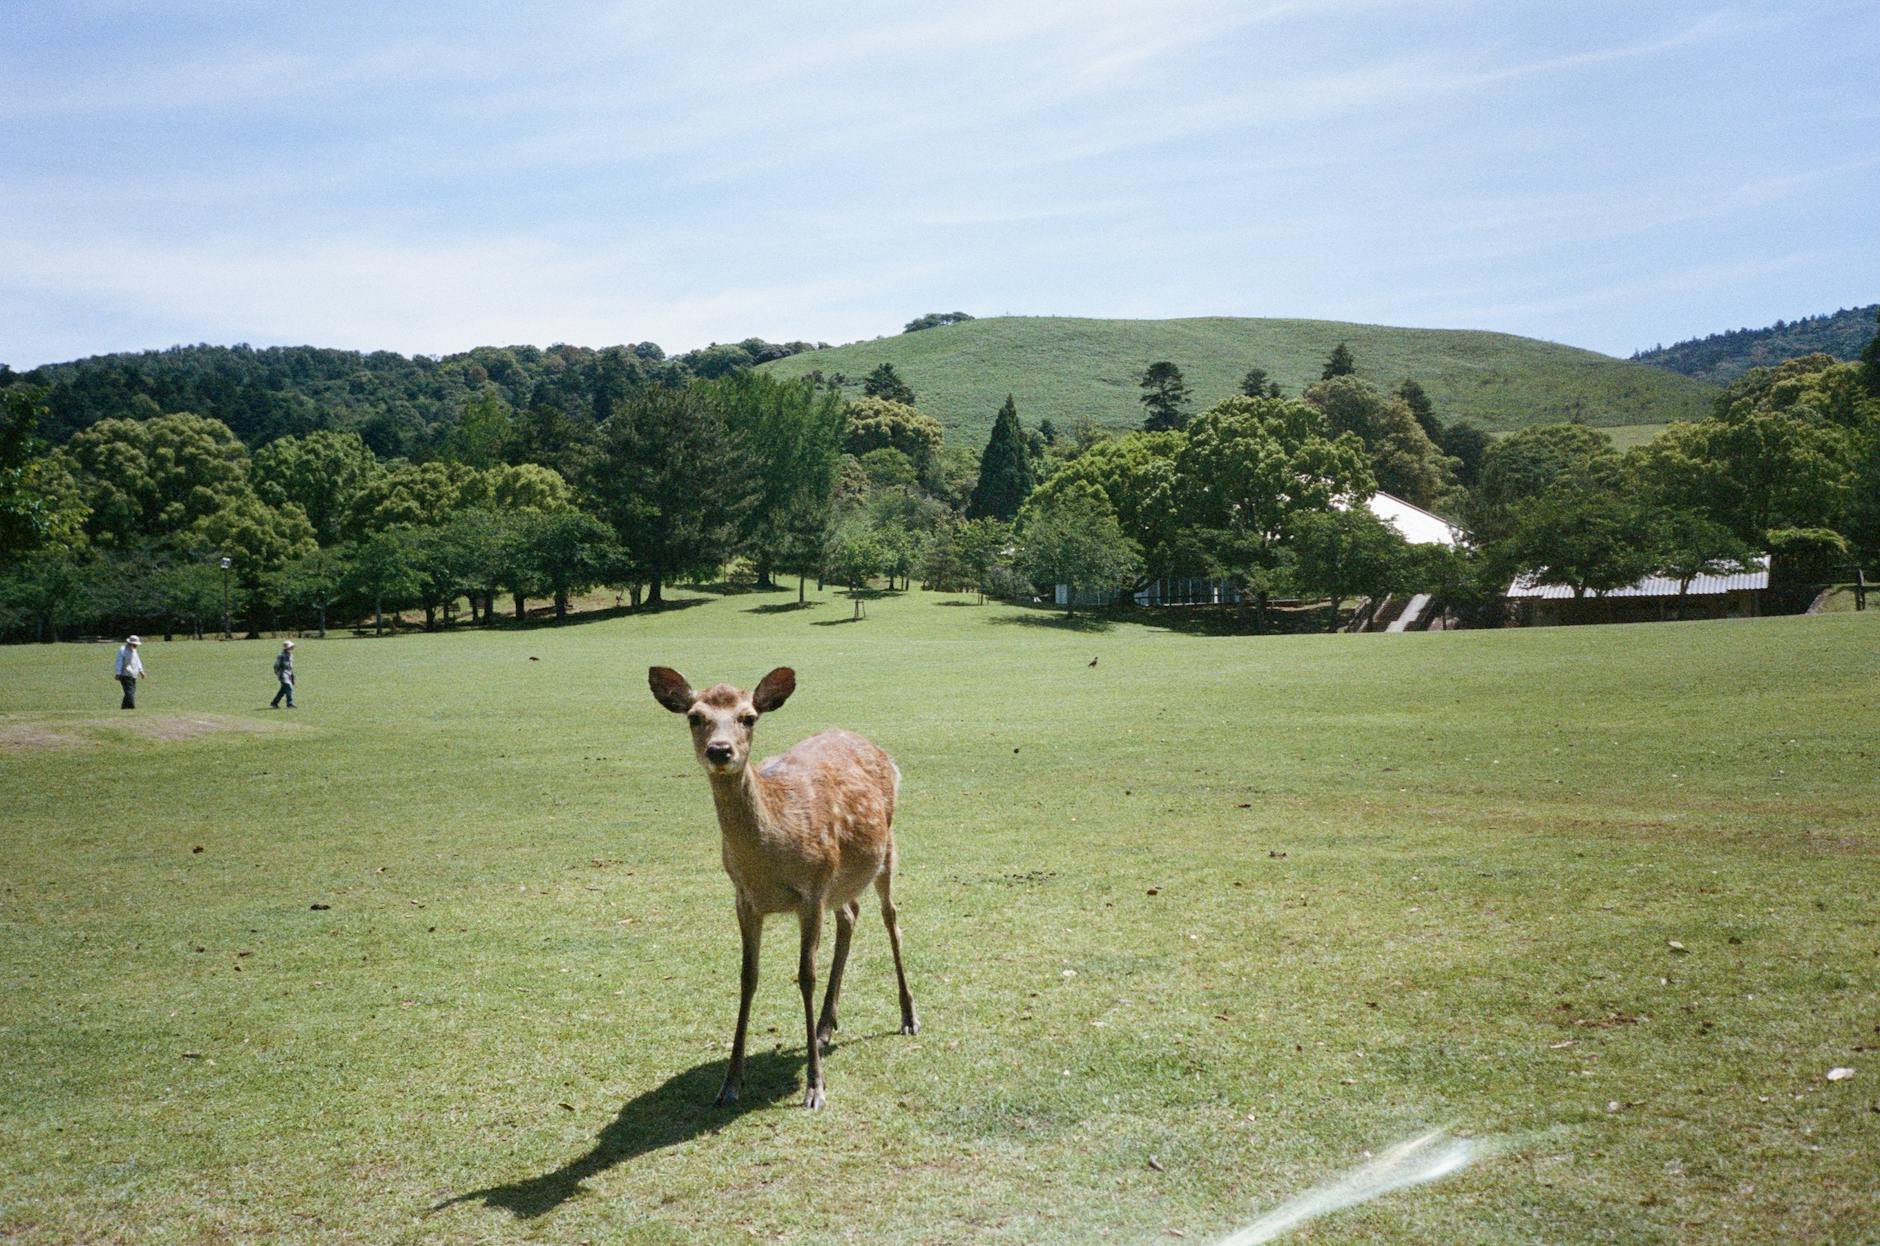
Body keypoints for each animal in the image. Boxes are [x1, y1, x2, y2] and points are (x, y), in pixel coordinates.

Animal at [648, 665, 919, 1110]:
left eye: (749, 717)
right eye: (695, 717)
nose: (720, 751)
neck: (768, 859)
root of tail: (881, 751)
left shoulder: (812, 892)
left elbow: (805, 976)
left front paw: (815, 1087)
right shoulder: (744, 899)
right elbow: (747, 976)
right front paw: (730, 1083)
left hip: (885, 851)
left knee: (891, 918)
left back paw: (909, 1017)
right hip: (841, 880)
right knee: (850, 914)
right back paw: (826, 1025)